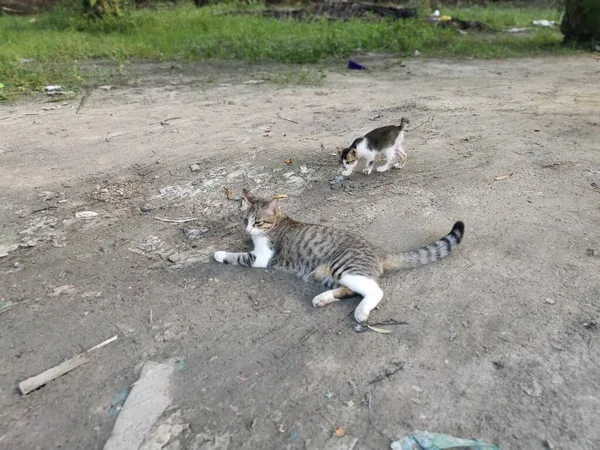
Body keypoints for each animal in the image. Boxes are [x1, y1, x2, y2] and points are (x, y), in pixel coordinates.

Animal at [213, 190, 466, 324]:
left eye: (257, 222)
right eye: (244, 220)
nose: (248, 229)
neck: (276, 224)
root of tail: (377, 250)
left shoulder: (262, 257)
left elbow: (239, 256)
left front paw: (219, 253)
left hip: (344, 267)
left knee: (374, 290)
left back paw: (361, 312)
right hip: (337, 274)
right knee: (351, 290)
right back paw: (322, 298)